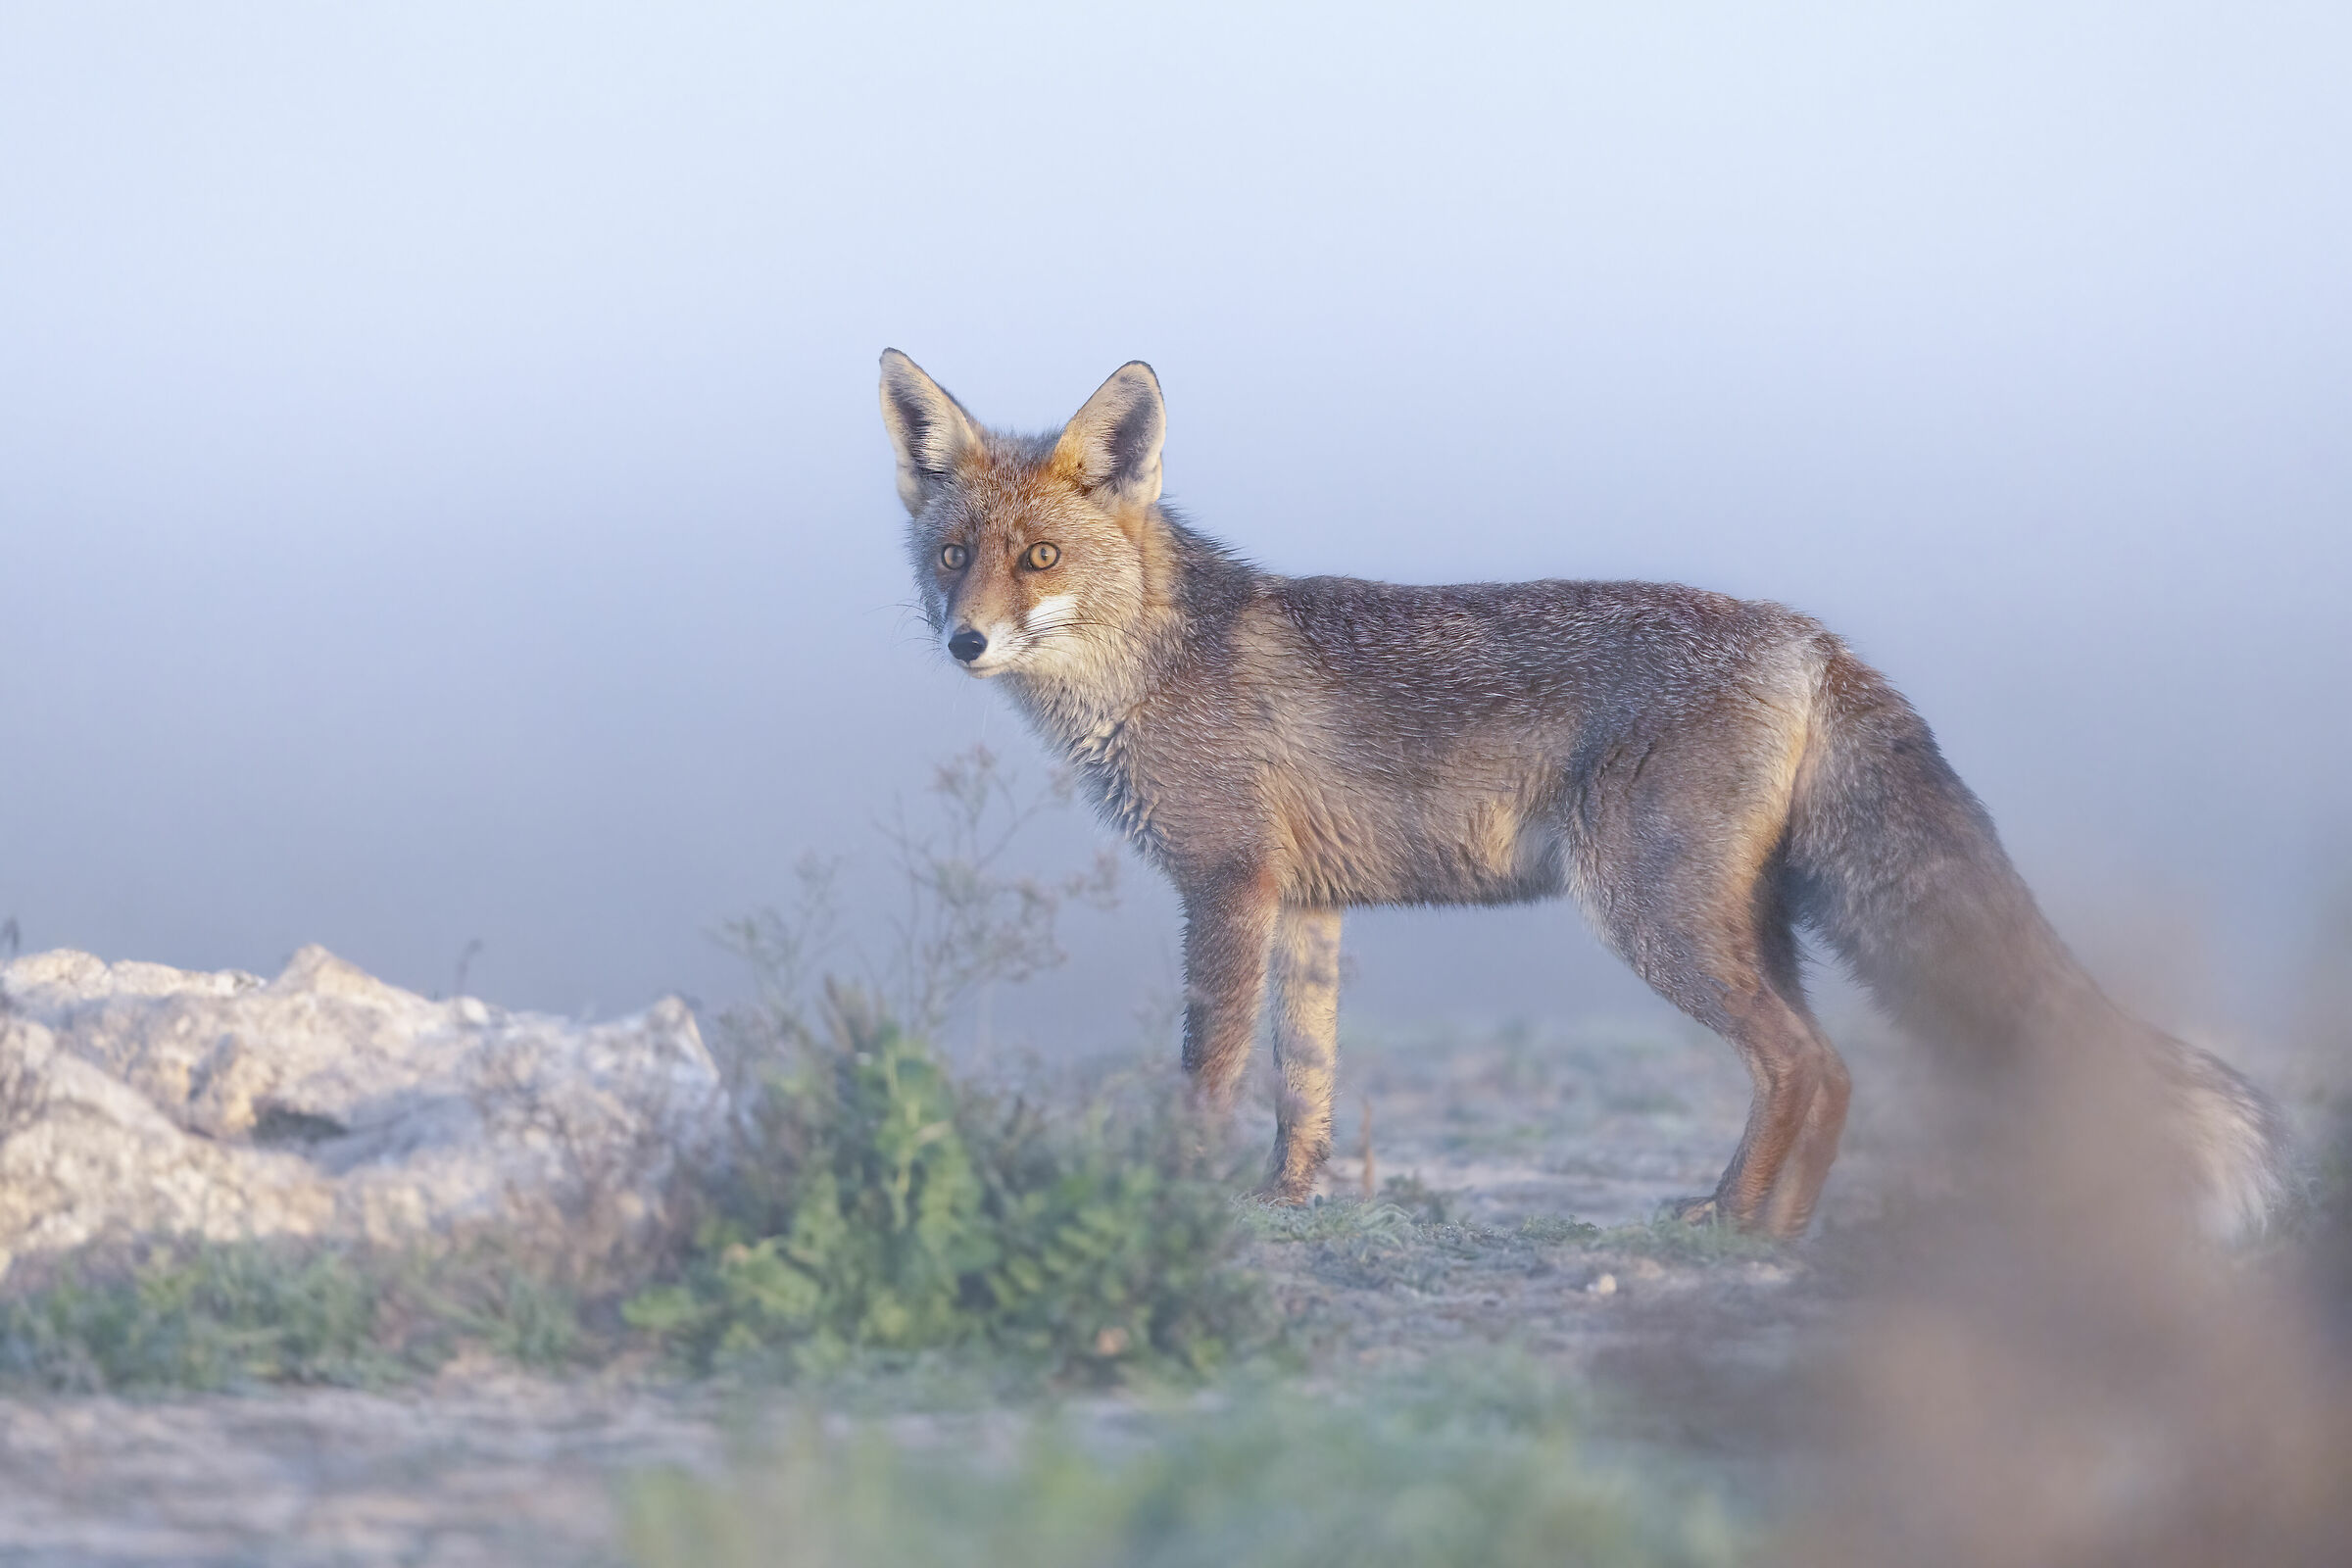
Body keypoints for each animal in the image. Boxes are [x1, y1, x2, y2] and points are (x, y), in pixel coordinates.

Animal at [876, 349, 2292, 1239]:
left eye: (1039, 557)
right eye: (953, 556)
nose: (964, 642)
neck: (1156, 660)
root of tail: (1806, 632)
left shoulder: (1226, 887)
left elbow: (1207, 1070)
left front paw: (1182, 1197)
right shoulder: (1309, 909)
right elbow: (1306, 1085)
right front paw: (1286, 1204)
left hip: (1649, 916)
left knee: (1810, 1062)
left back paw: (1750, 1233)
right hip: (1741, 924)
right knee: (1813, 1068)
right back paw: (1745, 1218)